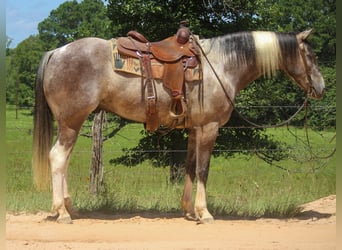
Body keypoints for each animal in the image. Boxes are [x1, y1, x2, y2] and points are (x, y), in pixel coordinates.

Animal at [32, 28, 326, 223]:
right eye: (311, 55)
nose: (321, 87)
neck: (222, 65)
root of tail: (56, 52)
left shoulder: (195, 129)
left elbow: (189, 167)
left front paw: (188, 209)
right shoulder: (209, 127)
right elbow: (203, 170)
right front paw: (204, 213)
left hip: (71, 123)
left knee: (63, 160)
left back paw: (70, 208)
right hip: (71, 122)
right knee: (57, 158)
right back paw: (61, 212)